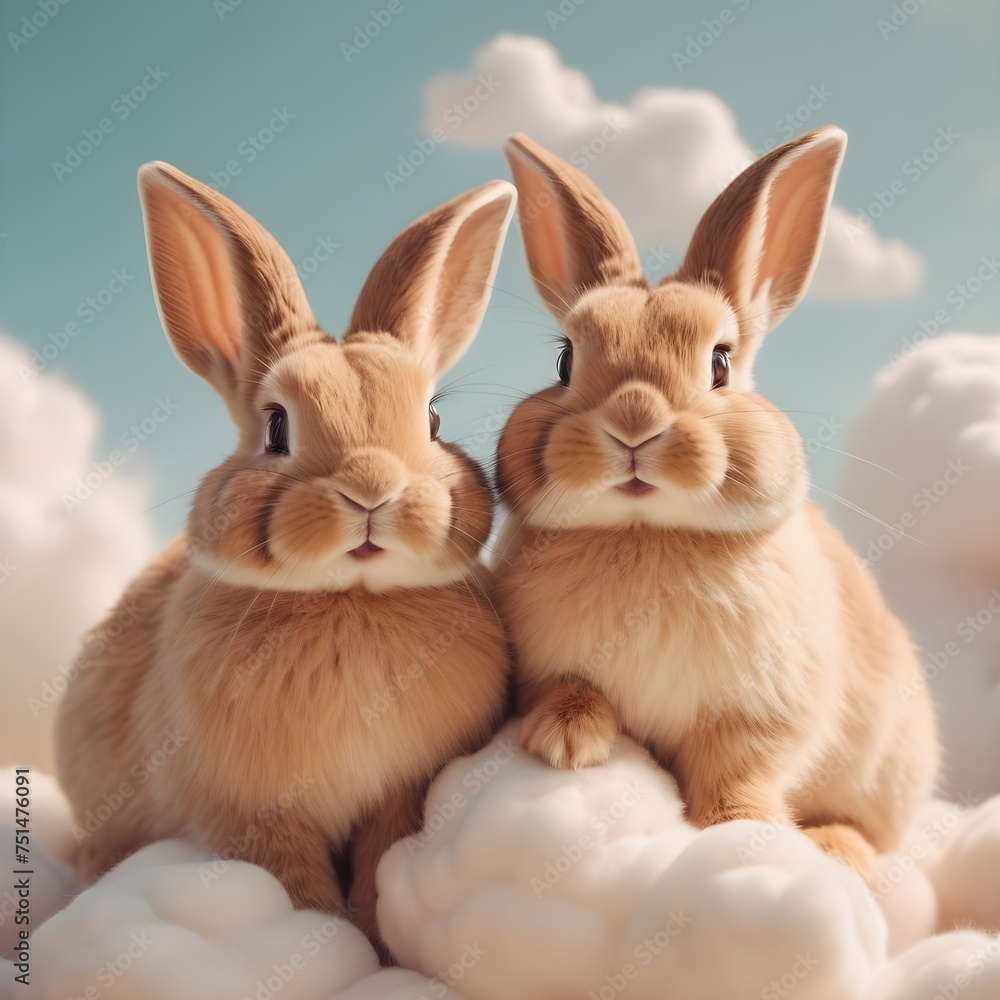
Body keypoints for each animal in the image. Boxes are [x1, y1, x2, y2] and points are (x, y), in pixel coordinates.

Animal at [55, 161, 516, 954]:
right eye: (277, 427)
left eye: (432, 420)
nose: (372, 490)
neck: (347, 599)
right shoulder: (254, 812)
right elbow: (294, 881)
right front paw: (329, 943)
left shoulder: (399, 795)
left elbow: (378, 859)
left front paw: (376, 941)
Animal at [493, 126, 939, 874]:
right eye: (564, 360)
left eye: (721, 362)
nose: (635, 423)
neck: (646, 532)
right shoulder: (541, 666)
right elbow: (565, 688)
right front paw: (567, 742)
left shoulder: (760, 717)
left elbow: (736, 771)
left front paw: (742, 829)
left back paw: (838, 850)